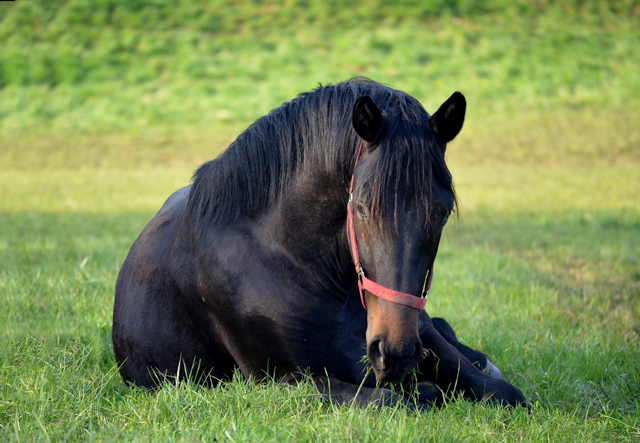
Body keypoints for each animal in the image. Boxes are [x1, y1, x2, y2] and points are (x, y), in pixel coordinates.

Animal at [114, 77, 524, 410]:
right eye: (361, 207)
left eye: (442, 211)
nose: (395, 353)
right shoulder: (279, 378)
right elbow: (395, 398)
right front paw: (422, 389)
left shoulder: (419, 334)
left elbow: (503, 393)